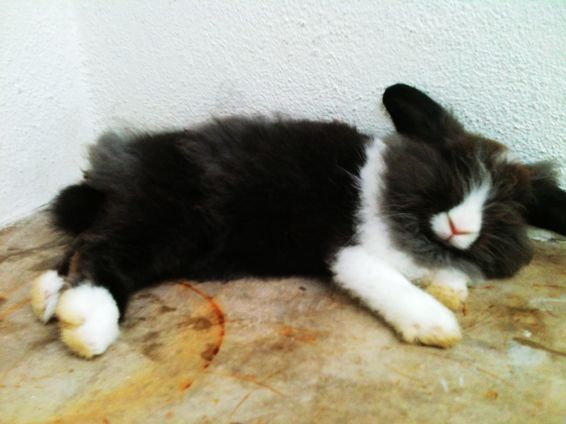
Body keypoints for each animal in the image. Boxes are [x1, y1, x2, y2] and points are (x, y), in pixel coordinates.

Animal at [30, 83, 566, 358]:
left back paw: (49, 297)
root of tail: (122, 168)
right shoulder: (353, 254)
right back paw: (86, 320)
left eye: (503, 207)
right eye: (451, 178)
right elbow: (394, 285)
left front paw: (451, 288)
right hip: (168, 225)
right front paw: (436, 321)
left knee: (85, 242)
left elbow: (446, 272)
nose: (460, 227)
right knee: (103, 253)